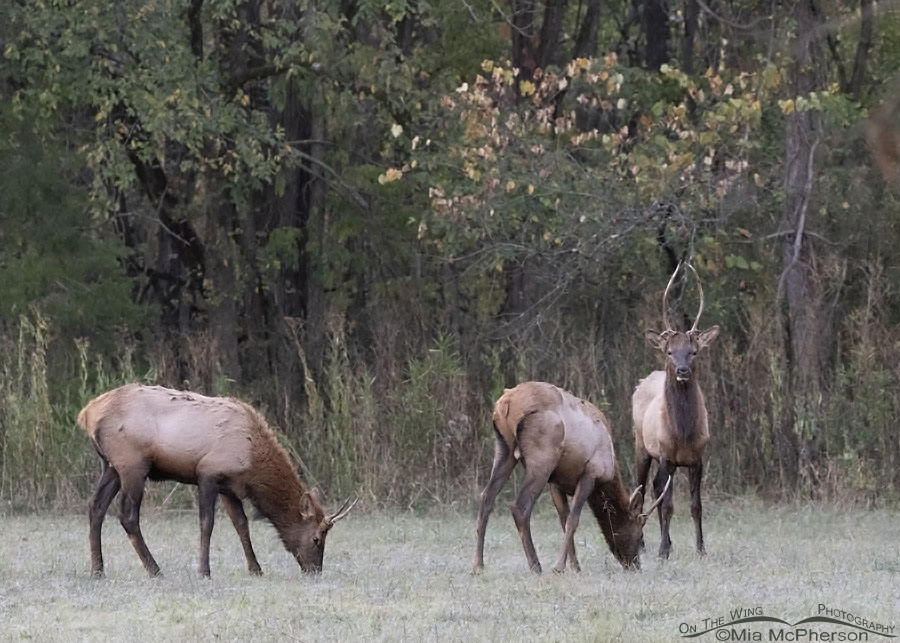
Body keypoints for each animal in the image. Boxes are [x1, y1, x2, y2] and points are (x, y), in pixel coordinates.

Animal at [74, 382, 356, 580]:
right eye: (317, 539)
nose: (315, 570)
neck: (252, 462)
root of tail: (87, 414)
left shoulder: (229, 486)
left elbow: (241, 524)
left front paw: (256, 569)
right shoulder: (208, 474)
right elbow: (207, 523)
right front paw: (204, 571)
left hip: (111, 466)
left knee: (95, 506)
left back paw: (97, 570)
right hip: (133, 465)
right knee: (127, 516)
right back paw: (155, 570)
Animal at [472, 382, 668, 572]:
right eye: (640, 534)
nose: (635, 565)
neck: (609, 471)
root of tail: (506, 403)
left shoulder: (556, 482)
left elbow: (564, 519)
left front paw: (574, 566)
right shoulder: (590, 474)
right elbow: (573, 520)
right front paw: (559, 567)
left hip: (505, 450)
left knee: (486, 497)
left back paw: (478, 566)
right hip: (542, 458)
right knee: (519, 506)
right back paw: (535, 565)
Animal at [636, 262, 720, 560]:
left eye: (694, 351)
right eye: (670, 351)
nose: (682, 371)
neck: (682, 434)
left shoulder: (697, 457)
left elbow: (696, 506)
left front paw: (701, 548)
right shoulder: (666, 455)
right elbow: (669, 505)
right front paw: (662, 551)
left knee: (654, 488)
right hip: (641, 446)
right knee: (641, 490)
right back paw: (644, 543)